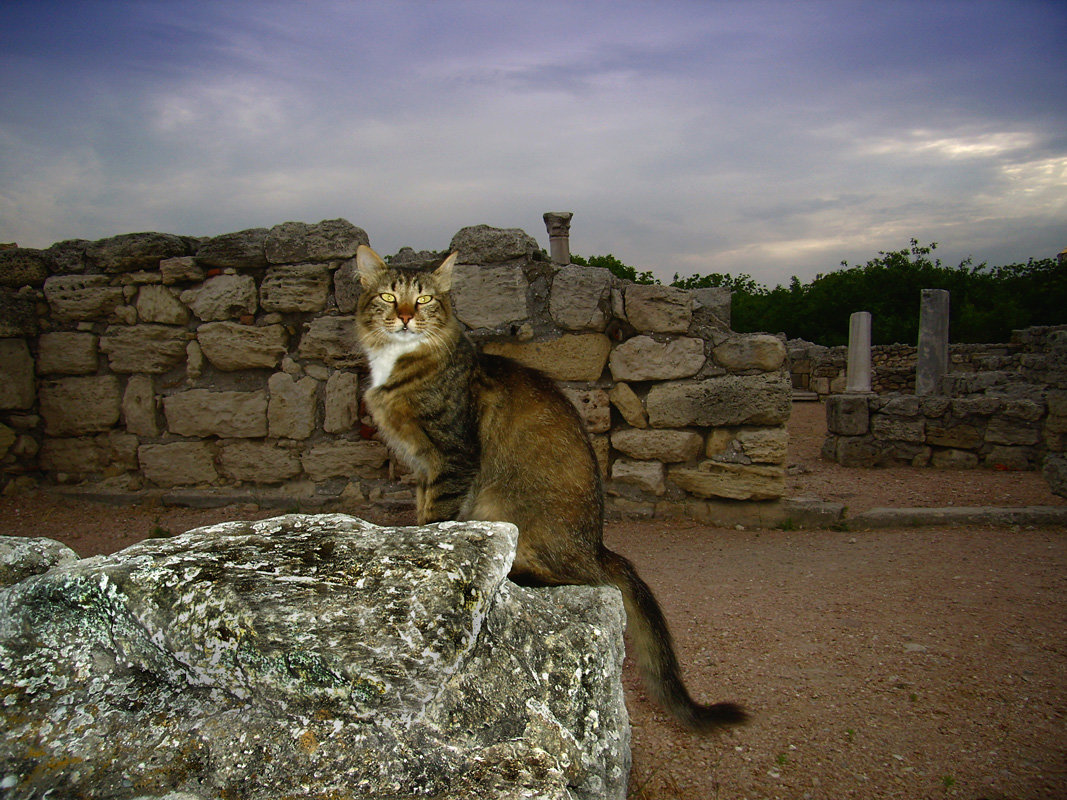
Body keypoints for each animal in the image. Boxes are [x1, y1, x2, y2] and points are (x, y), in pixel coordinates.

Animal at [354, 244, 746, 733]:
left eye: (423, 300)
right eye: (389, 297)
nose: (406, 317)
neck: (402, 362)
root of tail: (598, 546)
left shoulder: (453, 457)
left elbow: (437, 518)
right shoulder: (426, 467)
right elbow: (423, 513)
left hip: (510, 512)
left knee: (581, 579)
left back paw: (517, 576)